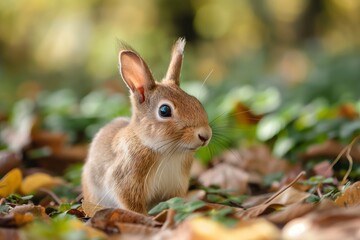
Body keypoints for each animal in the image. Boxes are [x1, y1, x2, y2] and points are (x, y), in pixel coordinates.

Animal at [81, 38, 211, 216]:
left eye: (196, 102)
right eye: (164, 110)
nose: (205, 135)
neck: (165, 150)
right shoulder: (127, 181)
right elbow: (133, 206)